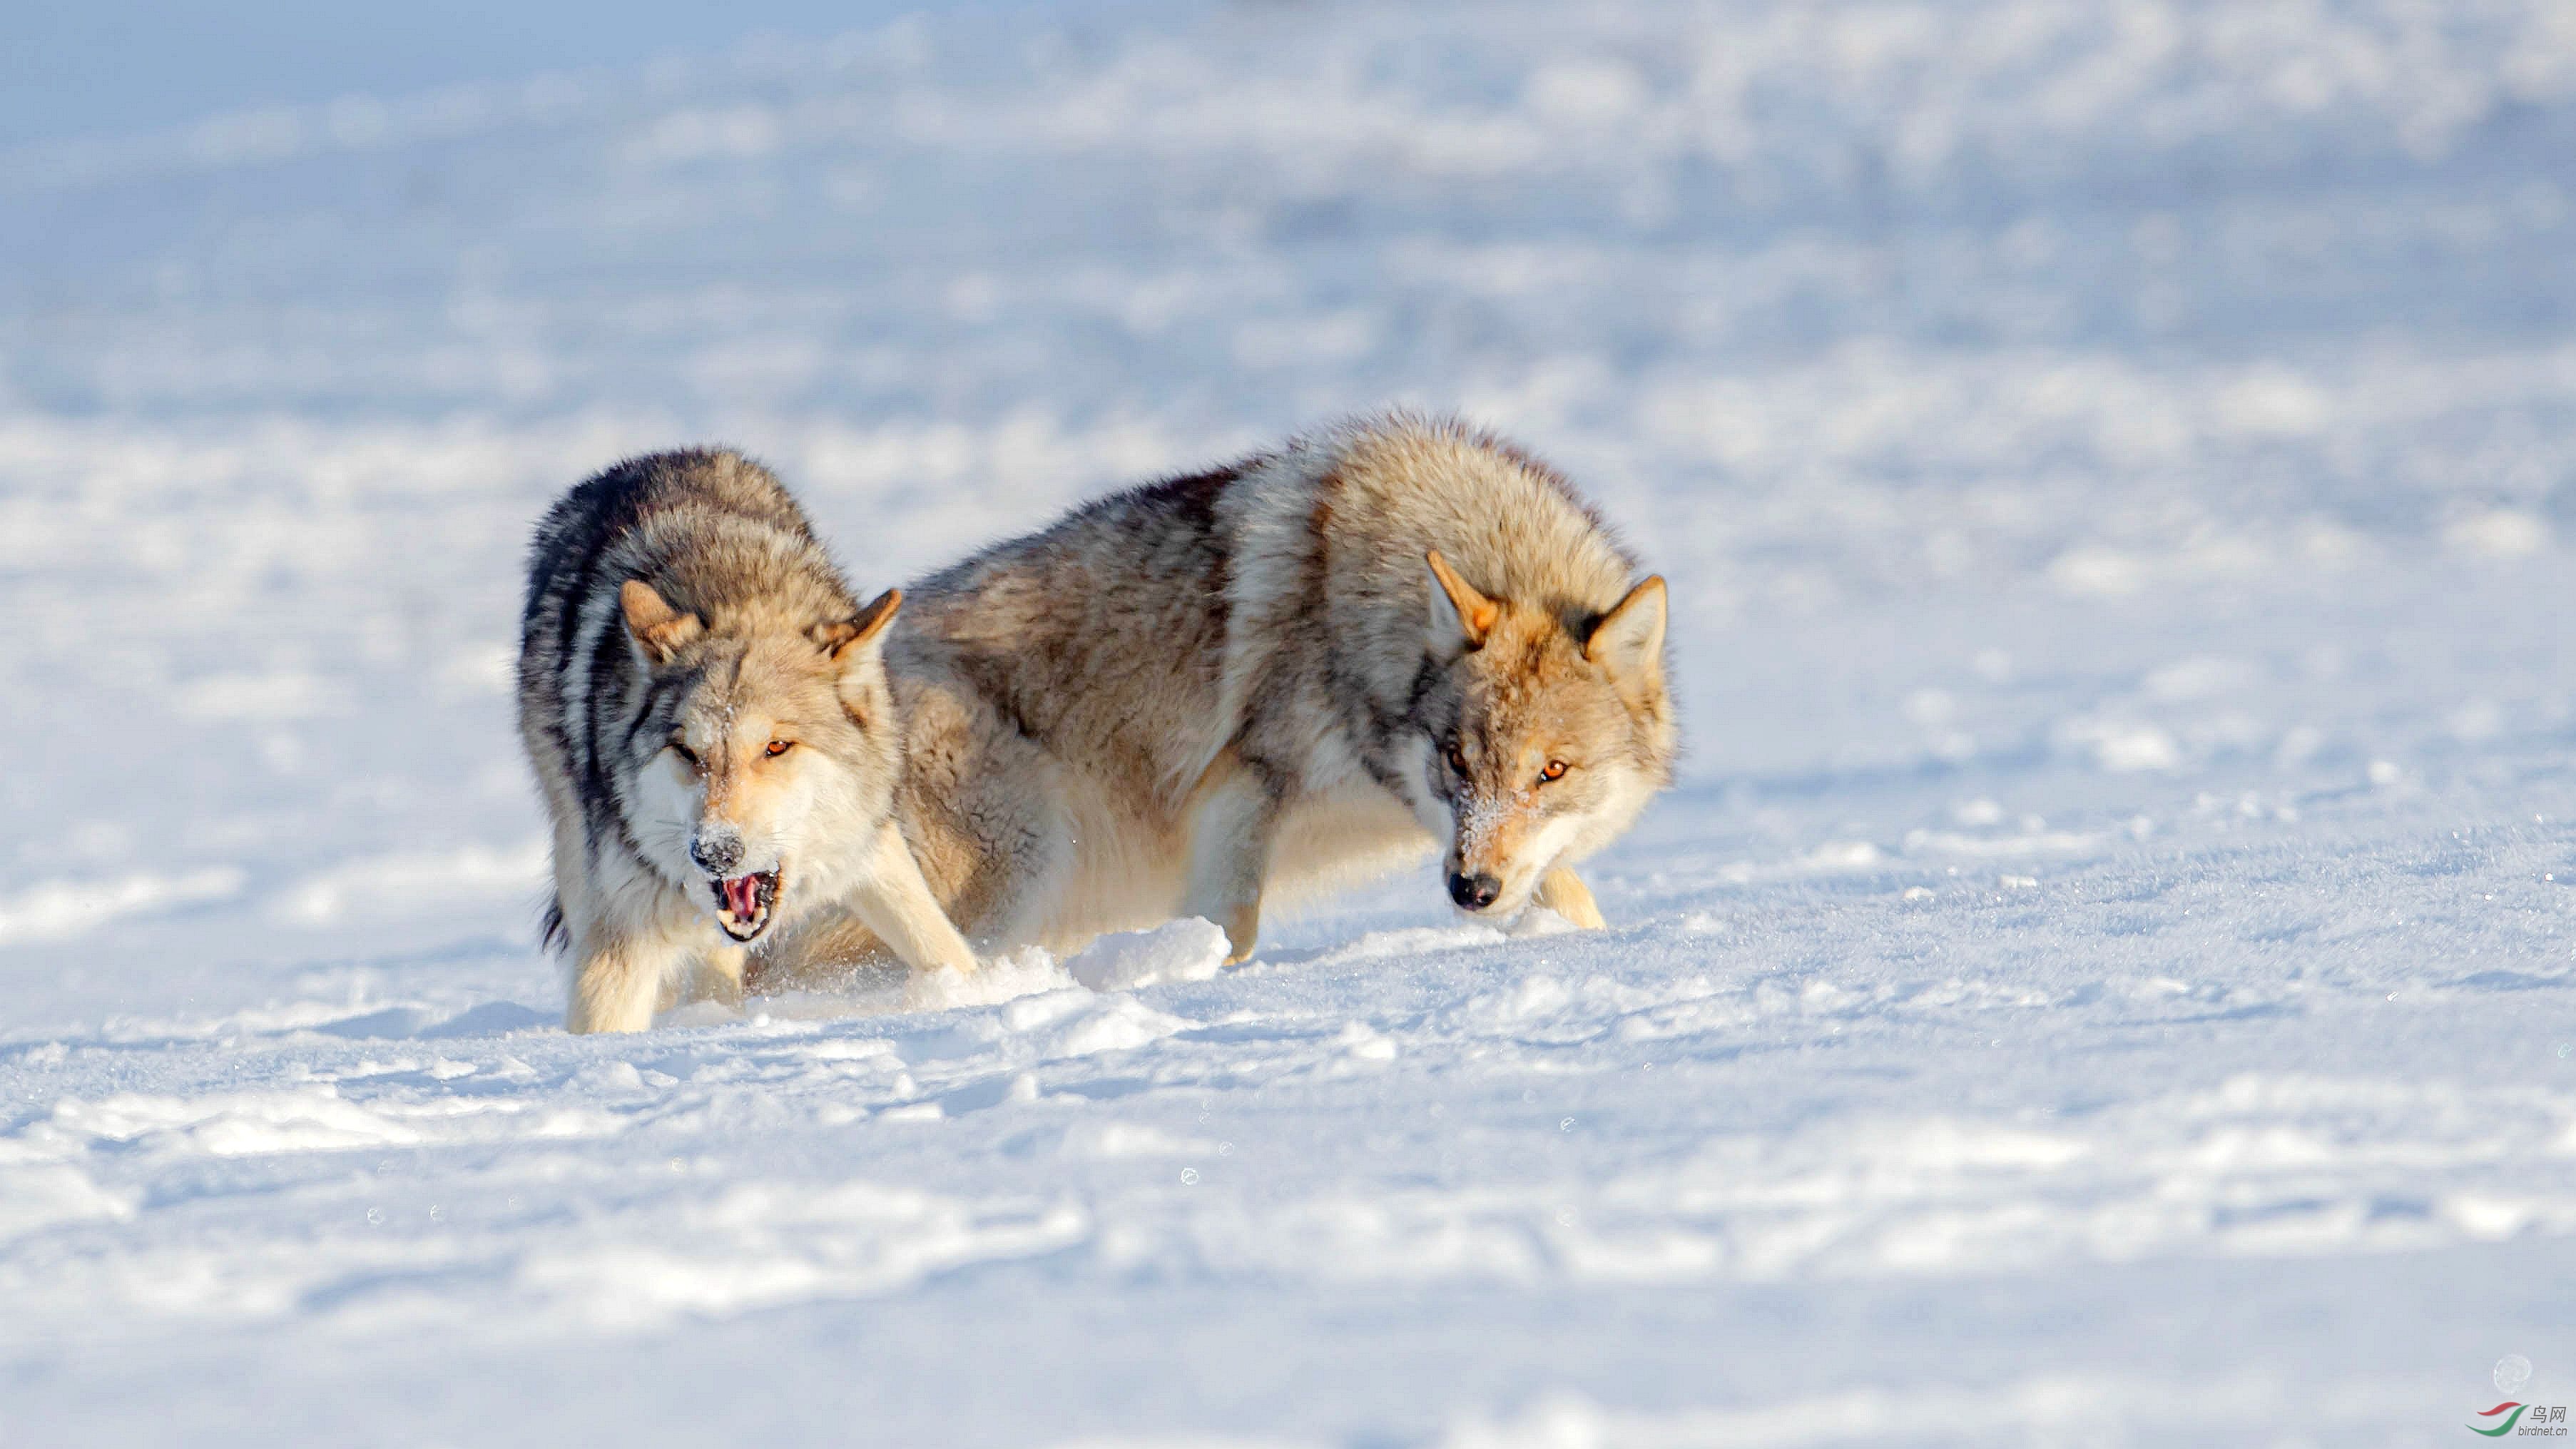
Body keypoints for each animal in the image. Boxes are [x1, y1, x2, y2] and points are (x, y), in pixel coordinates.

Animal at [515, 448, 973, 1026]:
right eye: (686, 751)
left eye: (776, 747)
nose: (715, 852)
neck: (733, 590)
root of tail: (652, 458)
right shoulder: (621, 931)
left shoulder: (870, 850)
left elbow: (944, 948)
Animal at [768, 410, 1669, 980]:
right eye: (1455, 756)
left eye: (1551, 772)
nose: (1467, 892)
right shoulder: (1243, 787)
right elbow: (1229, 928)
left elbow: (1572, 896)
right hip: (1005, 874)